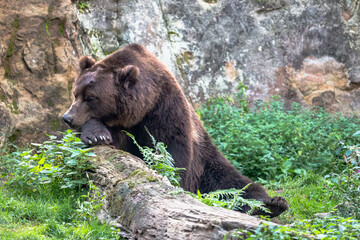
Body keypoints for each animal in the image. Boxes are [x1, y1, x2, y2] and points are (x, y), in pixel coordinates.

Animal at [62, 43, 286, 218]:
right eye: (75, 93)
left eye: (91, 97)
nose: (67, 117)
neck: (142, 108)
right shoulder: (128, 124)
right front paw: (96, 134)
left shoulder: (166, 110)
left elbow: (171, 150)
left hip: (206, 162)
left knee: (235, 184)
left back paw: (272, 204)